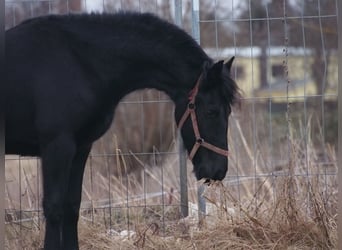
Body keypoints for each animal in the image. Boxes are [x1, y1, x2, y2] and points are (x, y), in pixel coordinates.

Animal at [5, 12, 240, 250]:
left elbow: (71, 206)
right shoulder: (57, 146)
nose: (218, 170)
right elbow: (54, 208)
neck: (78, 62)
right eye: (211, 111)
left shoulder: (80, 148)